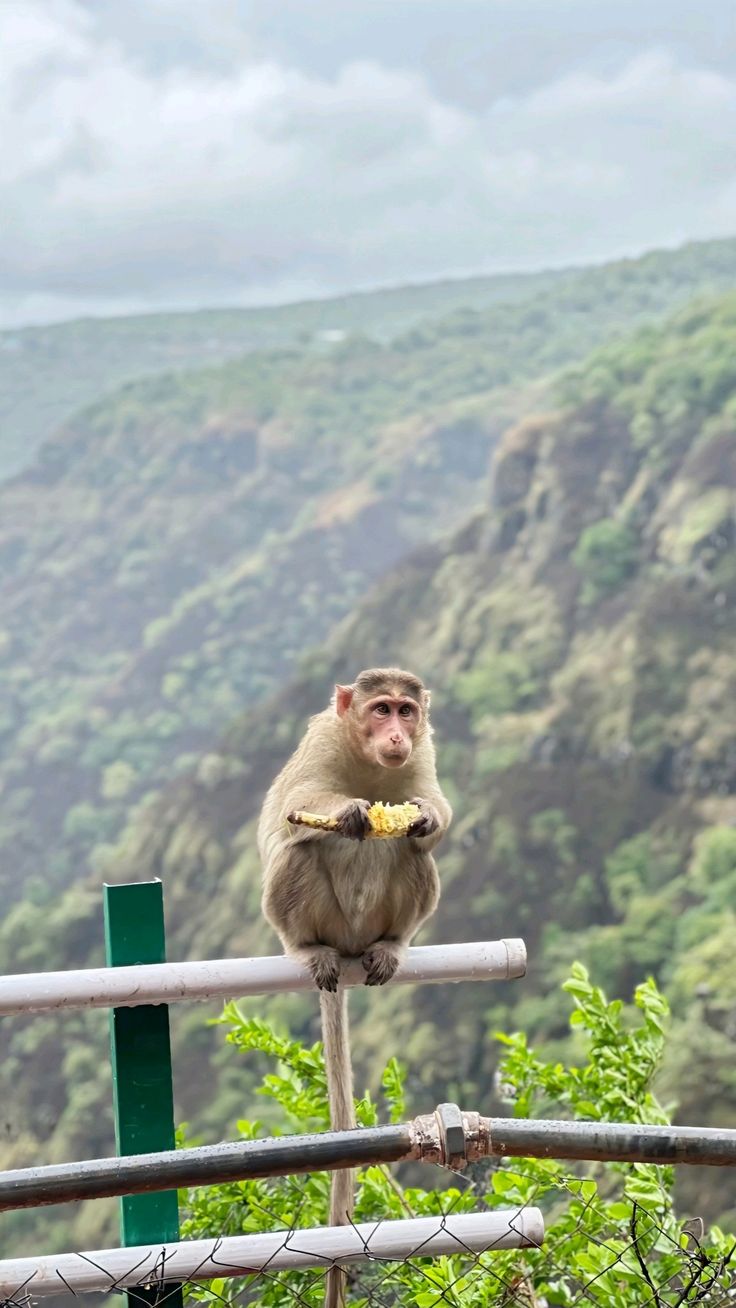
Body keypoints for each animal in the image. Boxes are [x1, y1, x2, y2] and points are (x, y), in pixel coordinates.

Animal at [258, 668, 451, 1308]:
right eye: (379, 709)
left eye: (407, 712)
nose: (396, 735)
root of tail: (347, 946)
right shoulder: (321, 740)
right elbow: (293, 810)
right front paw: (348, 812)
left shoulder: (425, 750)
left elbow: (431, 807)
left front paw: (423, 814)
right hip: (318, 922)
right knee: (299, 851)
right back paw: (308, 948)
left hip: (372, 926)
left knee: (414, 852)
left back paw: (393, 943)